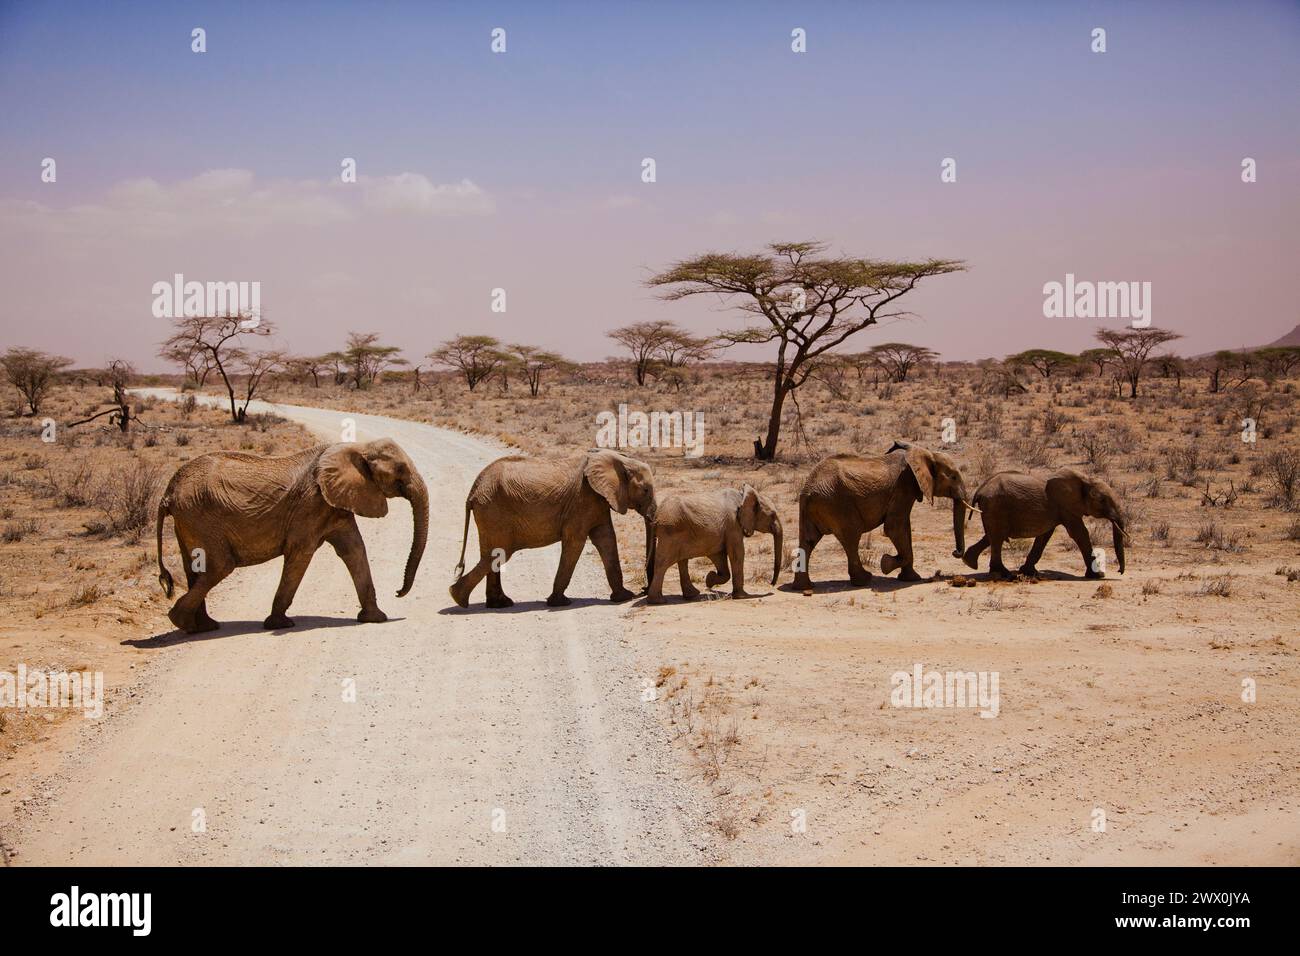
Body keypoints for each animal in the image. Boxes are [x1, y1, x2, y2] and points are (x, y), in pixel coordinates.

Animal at [152, 439, 426, 634]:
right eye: (400, 470)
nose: (398, 592)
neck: (358, 446)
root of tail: (168, 492)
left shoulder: (334, 504)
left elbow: (354, 550)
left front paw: (375, 619)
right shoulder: (311, 504)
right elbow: (300, 553)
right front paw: (279, 625)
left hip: (189, 519)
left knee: (194, 568)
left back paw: (203, 627)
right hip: (200, 515)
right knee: (219, 566)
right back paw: (183, 623)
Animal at [647, 486, 780, 606]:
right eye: (773, 515)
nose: (771, 584)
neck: (742, 496)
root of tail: (656, 517)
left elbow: (719, 557)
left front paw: (709, 580)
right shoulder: (733, 525)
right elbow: (737, 553)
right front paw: (742, 596)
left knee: (682, 561)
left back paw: (692, 595)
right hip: (670, 533)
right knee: (663, 563)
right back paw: (658, 601)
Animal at [785, 442, 972, 590]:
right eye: (953, 477)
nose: (956, 552)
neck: (925, 453)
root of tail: (809, 489)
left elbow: (904, 528)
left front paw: (910, 578)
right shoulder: (903, 487)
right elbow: (894, 528)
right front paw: (886, 564)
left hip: (812, 507)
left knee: (808, 541)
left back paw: (804, 587)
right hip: (837, 504)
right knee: (851, 538)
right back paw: (864, 580)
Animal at [961, 468, 1133, 580]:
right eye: (1102, 500)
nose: (1119, 571)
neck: (1085, 479)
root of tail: (980, 489)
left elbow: (1045, 535)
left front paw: (1030, 572)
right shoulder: (1066, 506)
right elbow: (1080, 533)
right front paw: (1097, 576)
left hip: (992, 509)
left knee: (992, 535)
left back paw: (970, 562)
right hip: (996, 506)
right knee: (997, 537)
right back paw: (1004, 574)